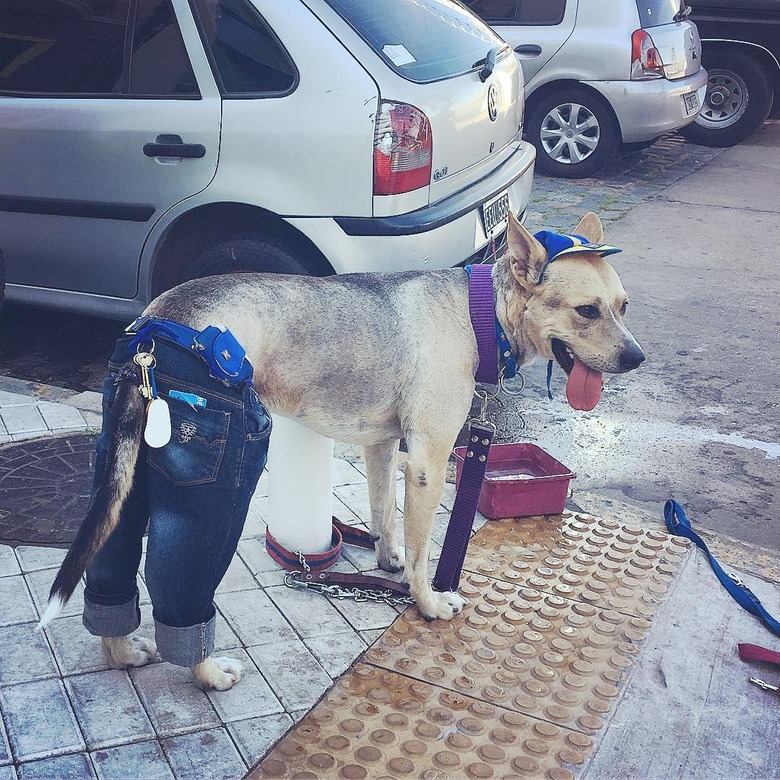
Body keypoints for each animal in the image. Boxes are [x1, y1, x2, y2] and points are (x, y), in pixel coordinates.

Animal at [38, 209, 644, 688]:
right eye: (587, 311)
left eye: (623, 306)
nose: (638, 358)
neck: (477, 311)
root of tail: (153, 324)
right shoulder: (428, 463)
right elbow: (424, 554)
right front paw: (426, 601)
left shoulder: (384, 447)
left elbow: (384, 514)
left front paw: (385, 560)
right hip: (219, 475)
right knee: (180, 589)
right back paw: (206, 672)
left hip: (126, 473)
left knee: (109, 573)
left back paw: (121, 653)